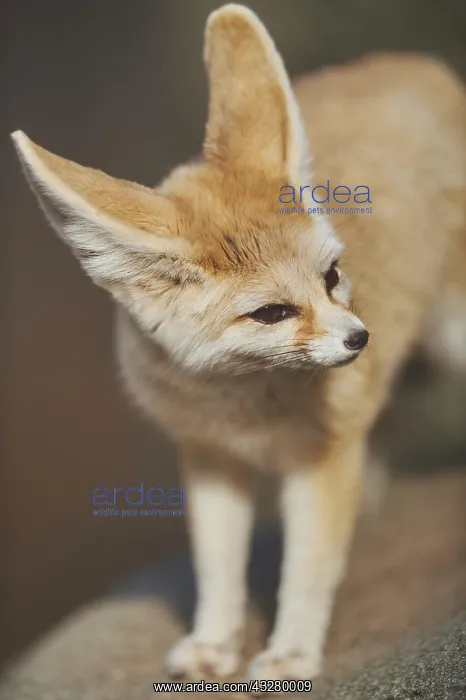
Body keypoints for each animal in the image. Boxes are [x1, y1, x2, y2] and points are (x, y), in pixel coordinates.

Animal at [11, 3, 466, 690]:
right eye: (272, 312)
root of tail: (411, 63)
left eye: (332, 276)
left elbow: (308, 569)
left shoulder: (320, 462)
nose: (359, 338)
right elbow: (217, 569)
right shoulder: (209, 458)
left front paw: (291, 654)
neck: (246, 407)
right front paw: (213, 642)